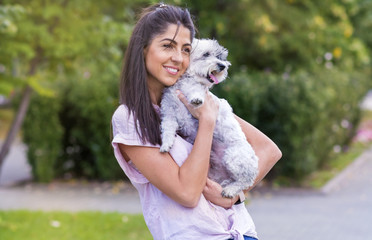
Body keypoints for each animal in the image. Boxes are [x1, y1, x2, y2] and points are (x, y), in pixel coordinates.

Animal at [160, 38, 258, 198]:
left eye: (219, 56)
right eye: (206, 54)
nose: (222, 65)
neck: (183, 82)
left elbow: (196, 89)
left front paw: (196, 98)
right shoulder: (169, 113)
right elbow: (167, 129)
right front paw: (166, 144)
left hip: (233, 156)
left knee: (245, 180)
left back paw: (230, 190)